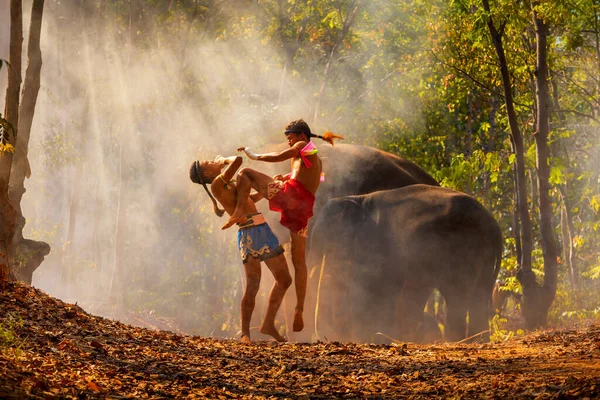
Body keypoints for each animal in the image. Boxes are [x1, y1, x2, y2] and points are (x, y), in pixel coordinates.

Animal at [310, 183, 502, 342]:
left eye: (324, 236)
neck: (358, 199)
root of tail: (493, 225)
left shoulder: (372, 241)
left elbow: (373, 286)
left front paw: (373, 337)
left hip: (462, 250)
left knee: (457, 294)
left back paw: (455, 340)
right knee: (478, 295)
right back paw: (479, 340)